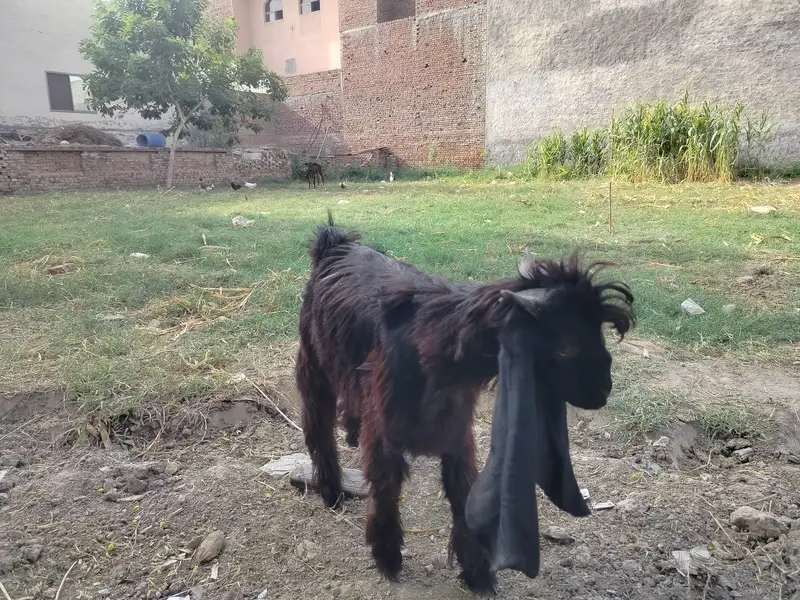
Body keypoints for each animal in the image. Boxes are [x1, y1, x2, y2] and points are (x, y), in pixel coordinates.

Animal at [296, 213, 634, 592]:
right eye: (565, 348)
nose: (603, 391)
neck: (432, 347)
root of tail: (333, 243)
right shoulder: (386, 432)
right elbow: (386, 489)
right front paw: (388, 558)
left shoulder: (456, 431)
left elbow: (462, 493)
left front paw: (477, 573)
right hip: (313, 364)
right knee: (318, 426)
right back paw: (331, 490)